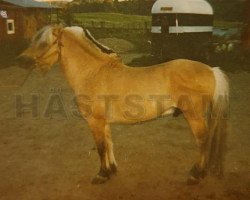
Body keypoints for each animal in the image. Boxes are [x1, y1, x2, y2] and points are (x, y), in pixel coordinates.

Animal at [17, 25, 229, 185]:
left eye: (43, 43)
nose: (21, 61)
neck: (93, 73)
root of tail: (211, 69)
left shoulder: (94, 122)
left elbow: (101, 147)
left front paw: (101, 175)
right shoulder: (104, 123)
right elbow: (109, 144)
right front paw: (111, 170)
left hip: (194, 116)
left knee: (203, 140)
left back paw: (196, 175)